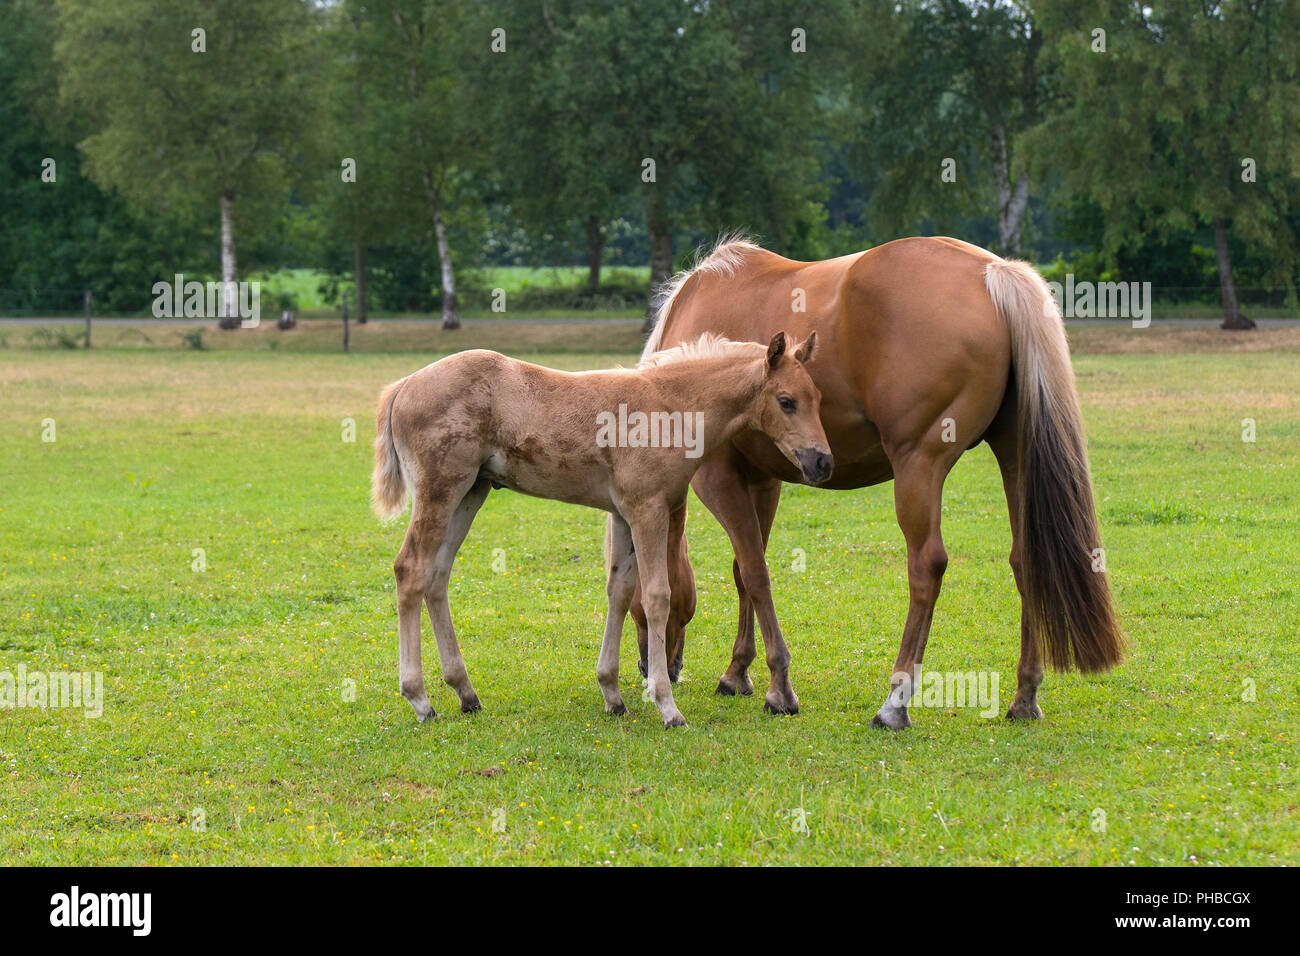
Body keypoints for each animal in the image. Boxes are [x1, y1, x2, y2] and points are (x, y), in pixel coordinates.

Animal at [374, 332, 832, 728]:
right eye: (786, 401)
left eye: (818, 398)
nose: (822, 462)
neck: (670, 407)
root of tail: (403, 386)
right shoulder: (648, 509)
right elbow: (656, 597)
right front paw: (667, 706)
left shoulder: (624, 514)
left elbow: (620, 592)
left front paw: (612, 694)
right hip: (441, 490)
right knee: (410, 570)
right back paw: (420, 699)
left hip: (471, 492)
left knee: (437, 575)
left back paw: (465, 692)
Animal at [624, 235, 1123, 728]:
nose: (651, 667)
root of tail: (993, 272)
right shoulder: (764, 481)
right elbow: (743, 569)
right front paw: (737, 672)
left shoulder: (719, 478)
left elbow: (754, 572)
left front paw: (778, 687)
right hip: (1014, 455)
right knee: (1025, 560)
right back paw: (1024, 696)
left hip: (919, 465)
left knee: (926, 566)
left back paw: (895, 702)